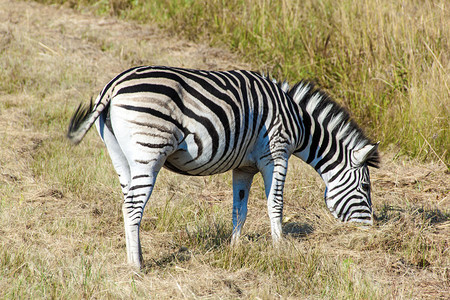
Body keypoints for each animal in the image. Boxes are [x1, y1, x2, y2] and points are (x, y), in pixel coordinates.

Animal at [67, 65, 380, 268]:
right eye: (366, 186)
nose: (371, 231)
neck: (299, 122)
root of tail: (114, 86)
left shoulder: (244, 167)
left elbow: (239, 209)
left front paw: (235, 248)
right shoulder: (277, 154)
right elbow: (275, 204)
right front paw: (280, 249)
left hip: (119, 155)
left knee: (126, 203)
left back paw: (136, 257)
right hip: (149, 150)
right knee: (133, 206)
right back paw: (137, 266)